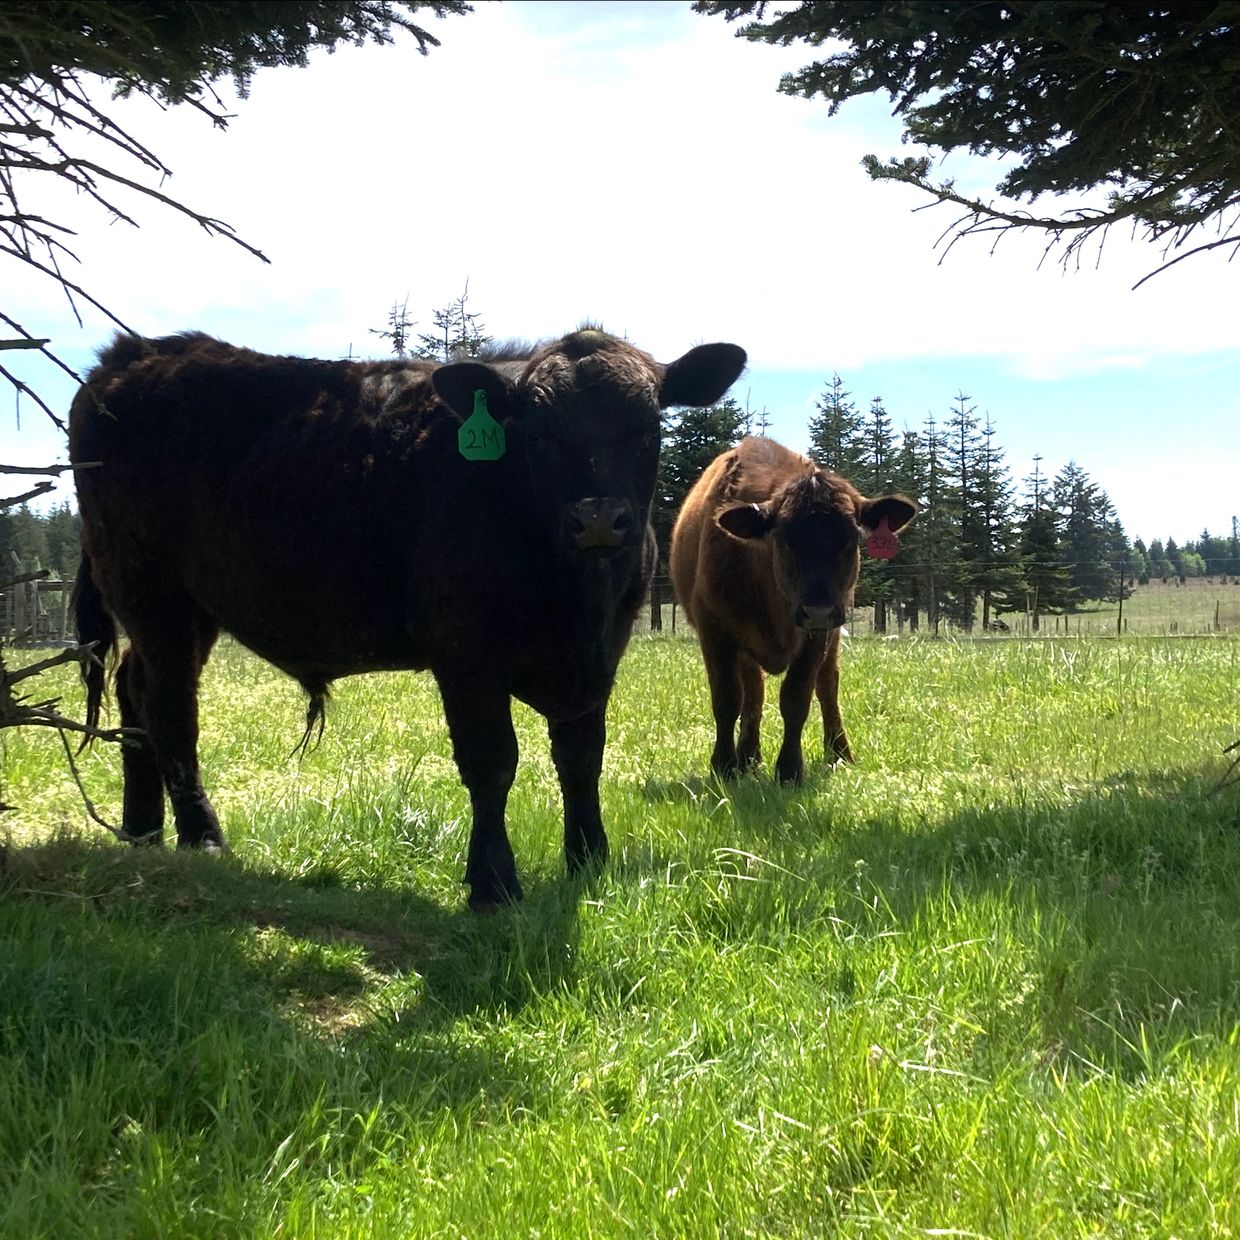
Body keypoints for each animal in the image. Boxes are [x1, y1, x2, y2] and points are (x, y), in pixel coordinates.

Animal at [70, 328, 746, 908]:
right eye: (536, 431)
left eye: (649, 425)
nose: (599, 519)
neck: (576, 599)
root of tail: (134, 354)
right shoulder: (466, 654)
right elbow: (491, 762)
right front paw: (493, 885)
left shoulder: (603, 653)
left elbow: (582, 758)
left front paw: (588, 861)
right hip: (151, 592)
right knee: (170, 712)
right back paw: (201, 838)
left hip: (189, 608)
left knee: (134, 691)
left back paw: (143, 832)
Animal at [669, 436, 917, 784]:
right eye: (784, 539)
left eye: (851, 538)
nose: (818, 609)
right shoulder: (715, 630)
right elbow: (727, 698)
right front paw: (724, 765)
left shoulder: (815, 636)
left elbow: (797, 697)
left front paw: (789, 770)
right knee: (754, 693)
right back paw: (748, 757)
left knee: (827, 686)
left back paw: (839, 753)